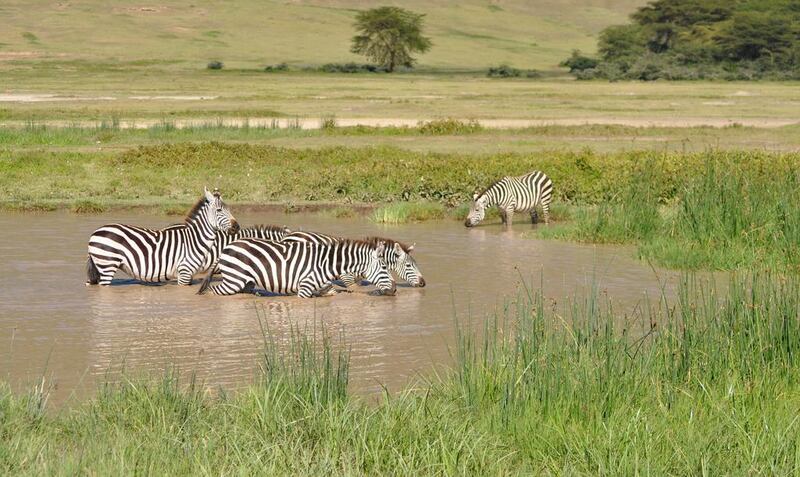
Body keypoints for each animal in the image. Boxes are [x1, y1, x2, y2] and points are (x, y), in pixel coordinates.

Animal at [87, 187, 239, 284]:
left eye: (229, 209)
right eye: (219, 210)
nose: (237, 227)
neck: (194, 240)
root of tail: (96, 232)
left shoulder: (187, 274)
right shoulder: (184, 272)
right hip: (107, 265)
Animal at [197, 238, 396, 298]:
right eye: (384, 266)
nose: (394, 289)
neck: (326, 264)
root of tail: (226, 247)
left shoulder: (326, 287)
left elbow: (333, 293)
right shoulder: (305, 289)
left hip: (247, 282)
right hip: (234, 280)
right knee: (213, 291)